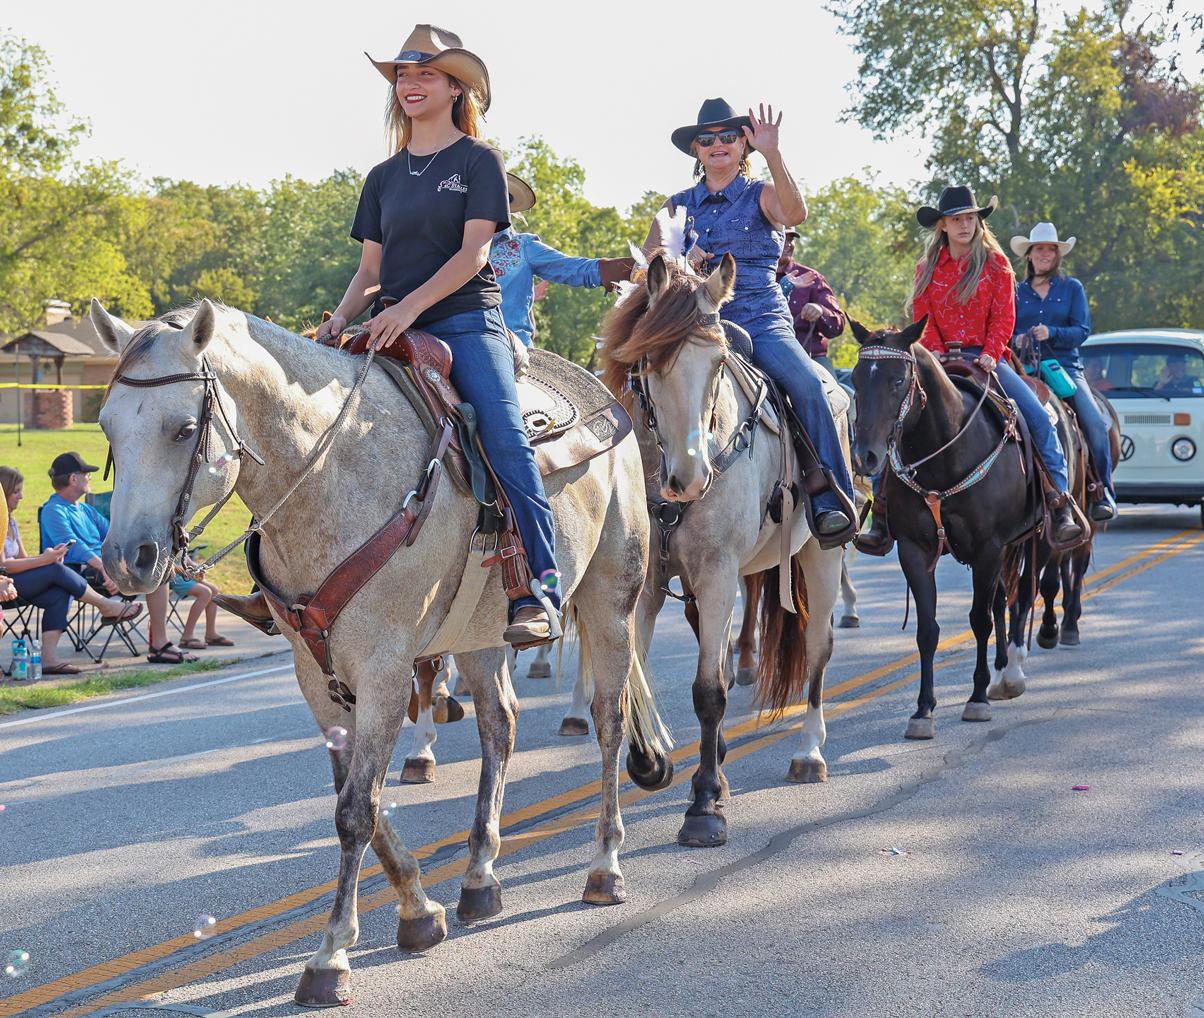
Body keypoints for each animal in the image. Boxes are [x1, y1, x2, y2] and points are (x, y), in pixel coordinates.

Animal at [93, 298, 674, 1010]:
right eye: (107, 426)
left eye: (181, 430)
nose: (127, 560)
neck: (330, 474)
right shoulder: (317, 674)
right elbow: (356, 799)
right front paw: (419, 911)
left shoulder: (385, 670)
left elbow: (355, 811)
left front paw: (331, 956)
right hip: (480, 634)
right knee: (499, 726)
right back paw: (480, 877)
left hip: (609, 599)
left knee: (610, 721)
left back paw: (604, 867)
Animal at [594, 255, 842, 851]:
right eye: (649, 362)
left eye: (718, 363)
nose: (690, 477)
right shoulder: (649, 583)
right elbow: (633, 673)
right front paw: (650, 762)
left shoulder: (716, 576)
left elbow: (709, 692)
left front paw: (705, 804)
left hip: (822, 558)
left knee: (818, 648)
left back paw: (808, 751)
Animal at [852, 317, 1040, 741]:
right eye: (854, 379)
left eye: (898, 380)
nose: (865, 456)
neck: (945, 454)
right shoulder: (914, 549)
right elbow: (928, 629)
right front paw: (923, 710)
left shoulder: (988, 548)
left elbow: (979, 620)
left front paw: (977, 699)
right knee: (1002, 598)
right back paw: (1002, 674)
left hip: (1032, 541)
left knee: (1023, 594)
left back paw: (1012, 672)